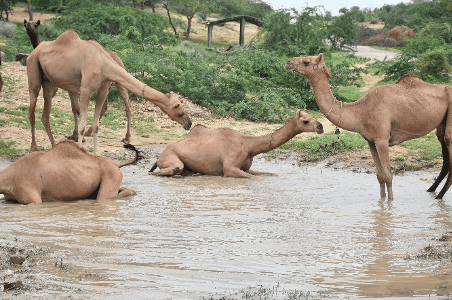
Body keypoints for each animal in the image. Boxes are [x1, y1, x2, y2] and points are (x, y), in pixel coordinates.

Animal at [26, 29, 192, 154]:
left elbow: (95, 125)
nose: (189, 124)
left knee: (45, 115)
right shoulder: (85, 90)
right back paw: (34, 147)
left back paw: (54, 146)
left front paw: (96, 154)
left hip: (50, 82)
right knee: (32, 109)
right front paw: (80, 151)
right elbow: (82, 125)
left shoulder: (103, 89)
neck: (103, 63)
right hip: (33, 70)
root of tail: (34, 51)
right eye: (180, 112)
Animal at [150, 109, 324, 177]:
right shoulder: (229, 168)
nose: (321, 126)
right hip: (170, 156)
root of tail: (159, 156)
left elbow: (269, 174)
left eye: (311, 116)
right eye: (306, 120)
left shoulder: (246, 167)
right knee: (170, 168)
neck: (248, 146)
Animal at [286, 53, 452, 199]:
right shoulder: (371, 141)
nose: (288, 62)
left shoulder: (382, 139)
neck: (361, 111)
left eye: (306, 61)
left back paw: (439, 197)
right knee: (444, 156)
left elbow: (388, 175)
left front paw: (390, 205)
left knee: (448, 141)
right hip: (441, 125)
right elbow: (380, 176)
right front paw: (382, 202)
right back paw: (433, 192)